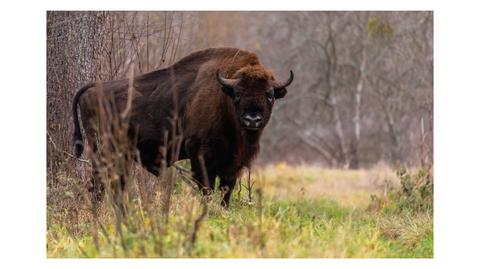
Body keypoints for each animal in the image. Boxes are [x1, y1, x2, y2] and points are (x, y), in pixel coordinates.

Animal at [72, 47, 292, 205]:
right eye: (237, 94)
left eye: (269, 95)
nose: (252, 119)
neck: (224, 98)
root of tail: (92, 89)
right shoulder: (201, 157)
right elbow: (206, 189)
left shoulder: (233, 165)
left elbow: (225, 193)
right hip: (105, 151)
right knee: (99, 185)